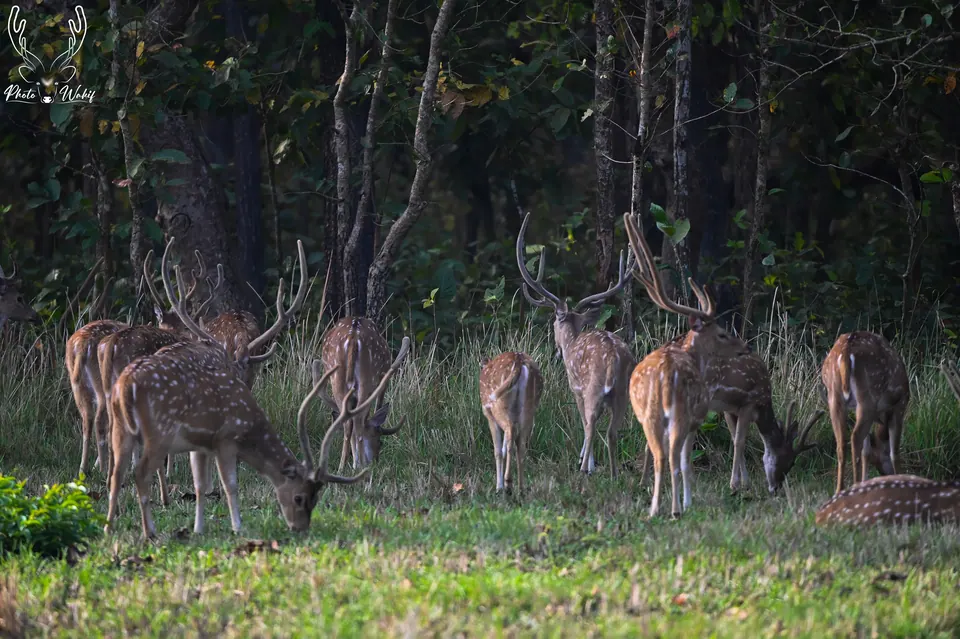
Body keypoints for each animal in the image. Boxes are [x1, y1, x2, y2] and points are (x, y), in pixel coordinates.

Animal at [317, 317, 410, 470]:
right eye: (380, 442)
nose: (375, 460)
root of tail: (353, 336)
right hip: (368, 376)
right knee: (358, 419)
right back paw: (359, 465)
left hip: (336, 376)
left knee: (348, 421)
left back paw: (343, 466)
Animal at [479, 351, 544, 494]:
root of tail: (519, 360)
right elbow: (503, 450)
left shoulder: (488, 415)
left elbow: (498, 451)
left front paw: (499, 486)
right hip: (530, 408)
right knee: (520, 444)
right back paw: (521, 488)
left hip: (498, 405)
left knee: (510, 432)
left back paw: (508, 484)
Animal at [516, 212, 635, 477]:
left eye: (553, 322)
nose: (557, 350)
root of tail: (614, 358)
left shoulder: (575, 386)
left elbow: (584, 421)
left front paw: (586, 460)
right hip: (624, 391)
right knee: (613, 431)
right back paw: (614, 473)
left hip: (592, 386)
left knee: (591, 423)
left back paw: (584, 469)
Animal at [622, 212, 751, 518]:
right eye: (722, 333)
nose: (745, 347)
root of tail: (665, 375)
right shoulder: (697, 417)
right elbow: (685, 462)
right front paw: (688, 502)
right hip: (682, 412)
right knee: (670, 457)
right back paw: (675, 509)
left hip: (649, 415)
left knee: (658, 455)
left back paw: (655, 509)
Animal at [821, 331, 910, 495]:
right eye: (879, 458)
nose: (885, 474)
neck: (882, 416)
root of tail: (845, 353)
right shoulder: (899, 405)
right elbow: (894, 452)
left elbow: (866, 451)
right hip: (868, 396)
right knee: (855, 437)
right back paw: (854, 486)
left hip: (834, 396)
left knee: (841, 442)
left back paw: (839, 490)